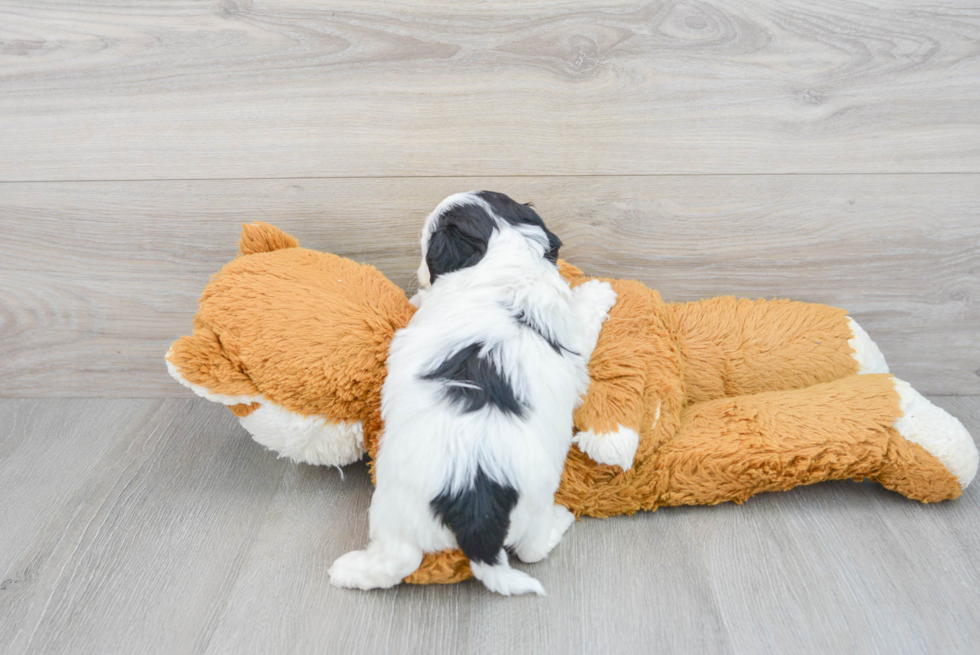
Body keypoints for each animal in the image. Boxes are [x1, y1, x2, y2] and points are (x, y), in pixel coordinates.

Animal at [334, 192, 616, 596]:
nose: (419, 271)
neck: (503, 257)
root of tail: (474, 502)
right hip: (524, 500)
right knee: (529, 549)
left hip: (395, 507)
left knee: (400, 559)